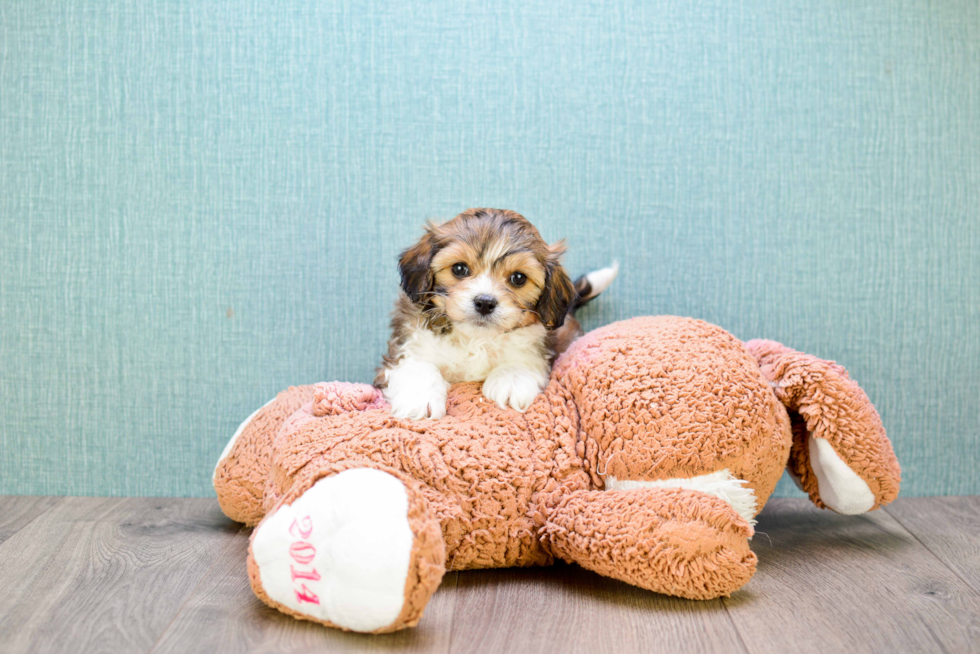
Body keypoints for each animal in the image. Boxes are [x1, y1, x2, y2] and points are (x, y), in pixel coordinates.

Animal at [378, 211, 616, 426]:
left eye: (518, 278)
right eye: (459, 268)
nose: (485, 302)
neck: (475, 338)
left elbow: (521, 359)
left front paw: (510, 382)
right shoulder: (408, 345)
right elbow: (417, 366)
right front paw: (419, 398)